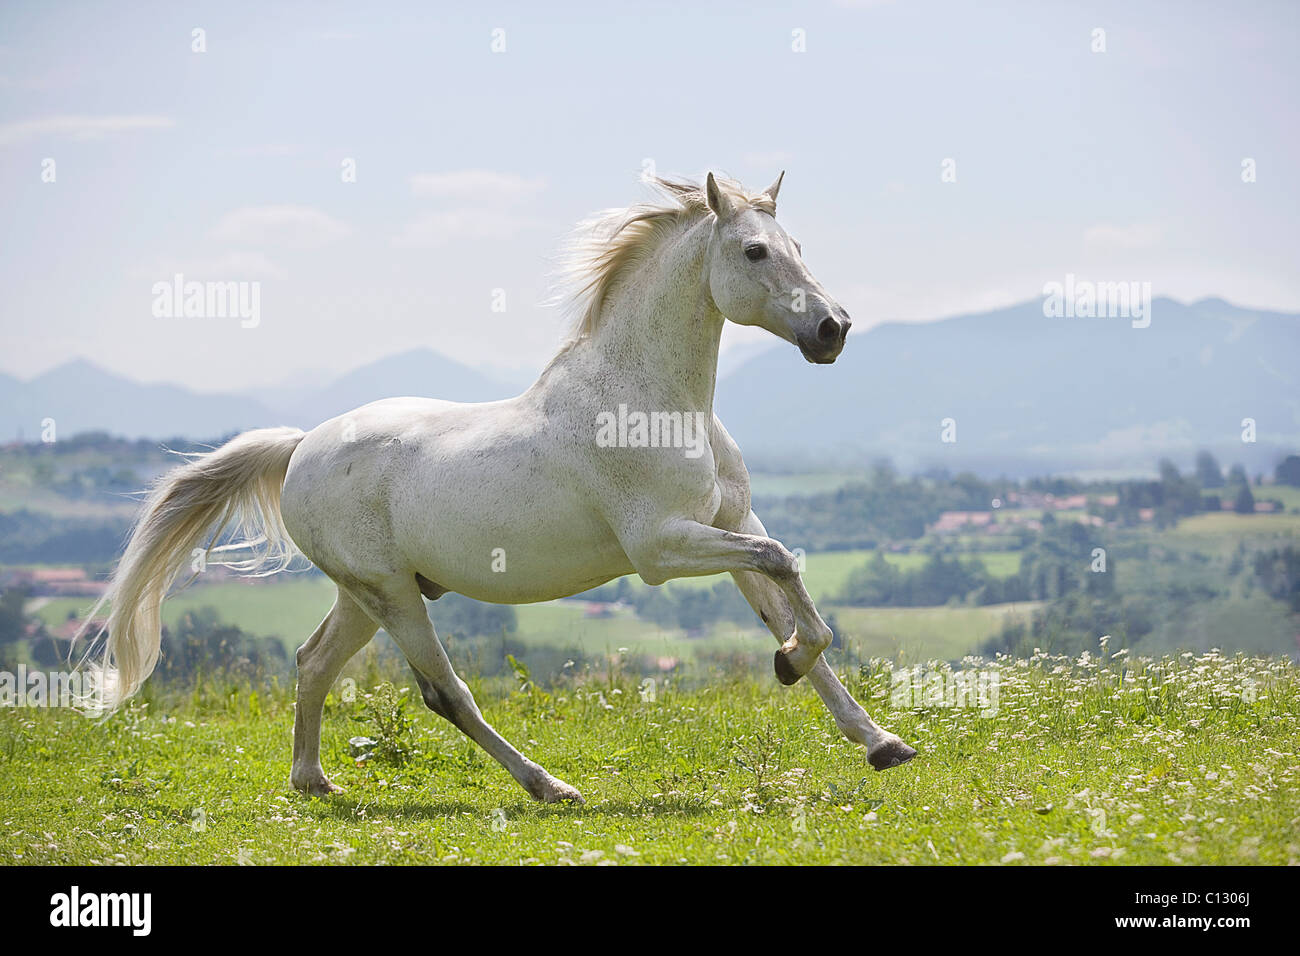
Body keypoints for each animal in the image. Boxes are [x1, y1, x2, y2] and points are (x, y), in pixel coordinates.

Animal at [82, 171, 917, 802]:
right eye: (753, 250)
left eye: (798, 246)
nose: (833, 330)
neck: (648, 402)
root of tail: (300, 448)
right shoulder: (663, 549)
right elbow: (785, 571)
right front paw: (790, 666)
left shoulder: (730, 523)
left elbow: (788, 597)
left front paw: (879, 740)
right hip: (391, 595)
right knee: (444, 692)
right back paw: (549, 787)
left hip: (366, 593)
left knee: (313, 661)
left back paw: (313, 781)